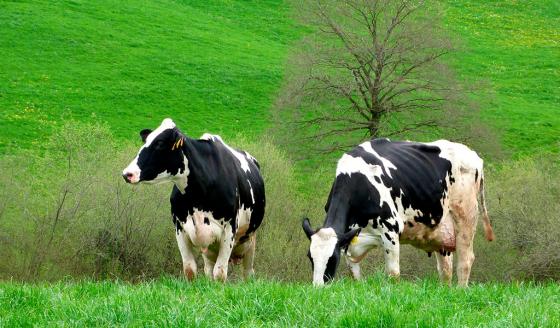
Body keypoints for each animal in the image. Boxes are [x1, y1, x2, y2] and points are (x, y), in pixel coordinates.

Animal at [122, 118, 264, 282]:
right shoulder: (180, 228)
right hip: (210, 250)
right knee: (208, 269)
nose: (127, 173)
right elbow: (190, 269)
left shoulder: (229, 229)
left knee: (248, 272)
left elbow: (220, 273)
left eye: (160, 143)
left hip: (250, 240)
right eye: (146, 140)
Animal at [302, 138, 494, 288]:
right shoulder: (351, 241)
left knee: (465, 261)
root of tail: (473, 155)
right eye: (310, 258)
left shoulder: (390, 230)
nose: (318, 288)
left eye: (332, 259)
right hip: (442, 233)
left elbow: (393, 275)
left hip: (466, 216)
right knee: (445, 270)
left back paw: (460, 291)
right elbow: (355, 276)